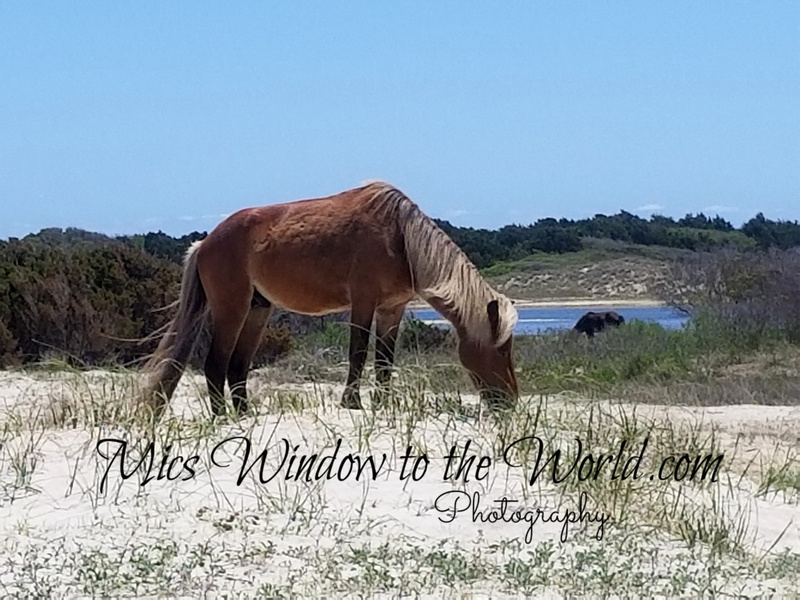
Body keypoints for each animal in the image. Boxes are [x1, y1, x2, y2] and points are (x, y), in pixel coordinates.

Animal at [140, 181, 519, 419]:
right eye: (501, 349)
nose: (511, 401)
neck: (400, 237)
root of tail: (205, 242)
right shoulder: (364, 301)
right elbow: (358, 353)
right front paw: (352, 402)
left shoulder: (392, 309)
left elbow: (384, 361)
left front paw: (382, 403)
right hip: (231, 309)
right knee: (215, 364)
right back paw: (224, 418)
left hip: (257, 311)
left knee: (237, 367)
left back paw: (245, 415)